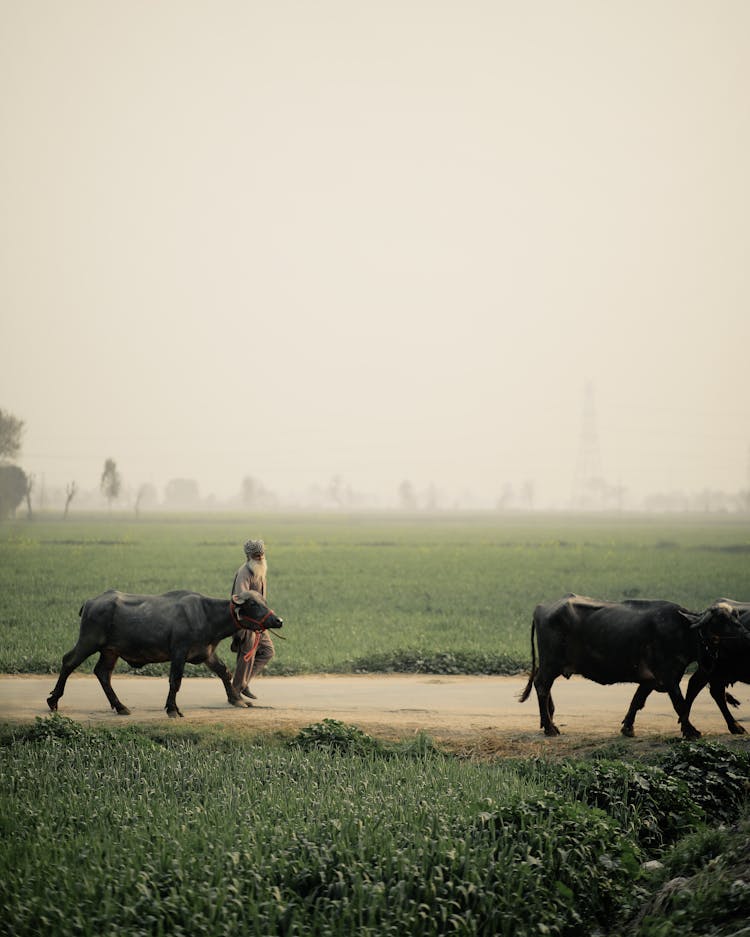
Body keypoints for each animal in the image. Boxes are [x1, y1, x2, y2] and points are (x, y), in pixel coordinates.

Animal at [47, 588, 282, 720]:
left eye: (264, 603)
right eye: (253, 604)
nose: (278, 620)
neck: (207, 615)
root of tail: (90, 602)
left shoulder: (206, 653)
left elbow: (224, 672)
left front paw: (236, 699)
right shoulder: (178, 651)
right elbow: (175, 681)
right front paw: (172, 709)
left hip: (110, 651)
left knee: (102, 673)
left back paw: (120, 706)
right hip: (89, 640)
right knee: (69, 661)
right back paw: (53, 701)